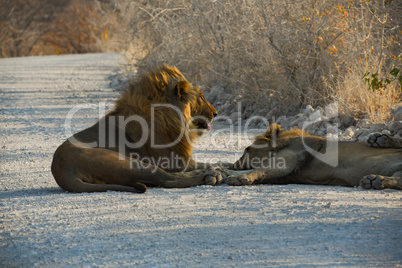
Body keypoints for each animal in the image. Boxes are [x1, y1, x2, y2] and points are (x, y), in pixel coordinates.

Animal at [50, 65, 221, 194]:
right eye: (201, 96)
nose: (215, 113)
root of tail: (62, 170)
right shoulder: (175, 162)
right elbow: (209, 163)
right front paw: (215, 169)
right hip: (130, 163)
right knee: (168, 179)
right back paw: (210, 175)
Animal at [225, 124, 402, 191]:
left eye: (247, 149)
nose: (234, 165)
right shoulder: (287, 175)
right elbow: (264, 172)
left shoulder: (291, 156)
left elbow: (261, 169)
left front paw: (236, 177)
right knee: (399, 181)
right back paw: (375, 180)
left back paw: (380, 140)